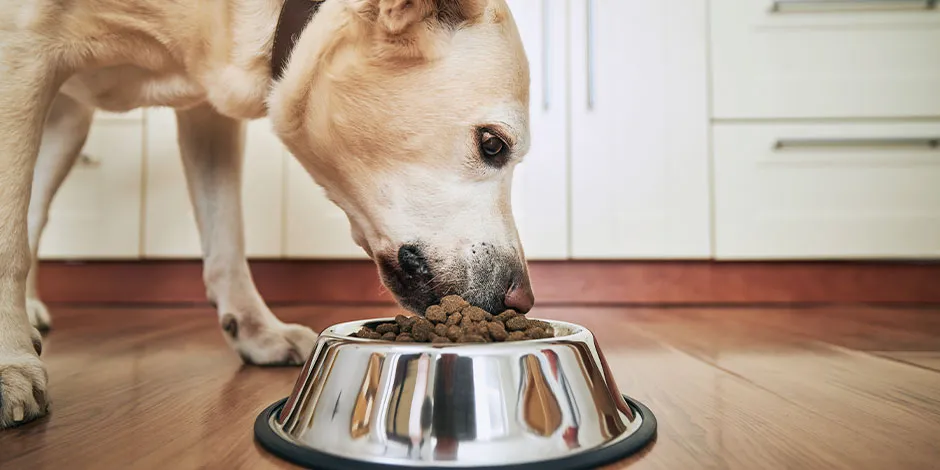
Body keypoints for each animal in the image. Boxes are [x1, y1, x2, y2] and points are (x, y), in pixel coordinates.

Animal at [0, 0, 536, 428]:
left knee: (36, 212)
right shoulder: (21, 51)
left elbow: (227, 239)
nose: (523, 301)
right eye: (493, 144)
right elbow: (8, 239)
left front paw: (256, 329)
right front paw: (10, 365)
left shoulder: (208, 114)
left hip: (68, 123)